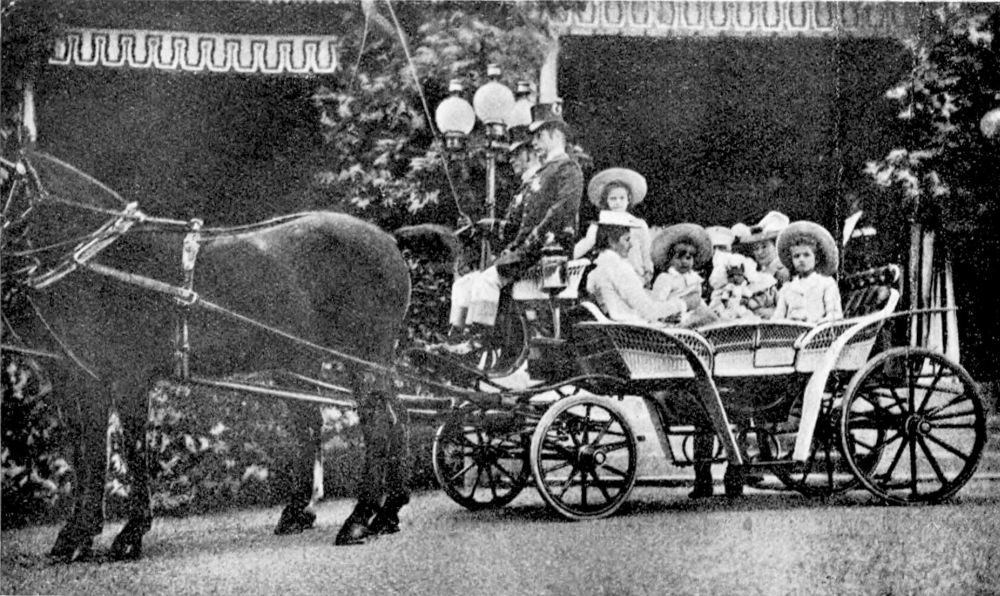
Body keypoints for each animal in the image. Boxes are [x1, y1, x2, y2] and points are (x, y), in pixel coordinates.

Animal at [1, 150, 444, 560]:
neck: (107, 260)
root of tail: (388, 239)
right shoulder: (80, 378)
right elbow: (86, 452)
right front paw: (75, 536)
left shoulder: (127, 378)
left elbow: (129, 451)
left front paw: (128, 535)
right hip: (329, 361)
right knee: (393, 417)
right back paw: (382, 513)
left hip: (362, 356)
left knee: (378, 424)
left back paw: (358, 519)